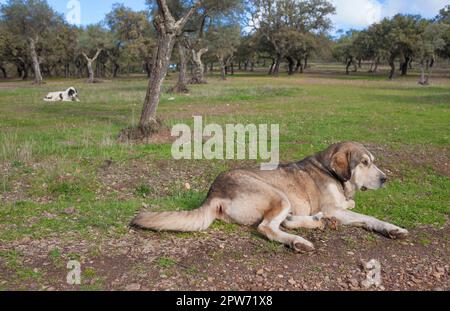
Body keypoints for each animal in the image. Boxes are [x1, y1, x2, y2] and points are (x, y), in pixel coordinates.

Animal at [132, 143, 410, 252]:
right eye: (364, 162)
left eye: (372, 161)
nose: (385, 179)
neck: (331, 171)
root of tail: (214, 193)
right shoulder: (334, 209)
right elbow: (367, 216)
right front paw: (391, 227)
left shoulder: (340, 209)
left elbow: (362, 215)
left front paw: (392, 229)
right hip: (279, 195)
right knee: (268, 227)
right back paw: (299, 241)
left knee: (284, 221)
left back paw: (313, 223)